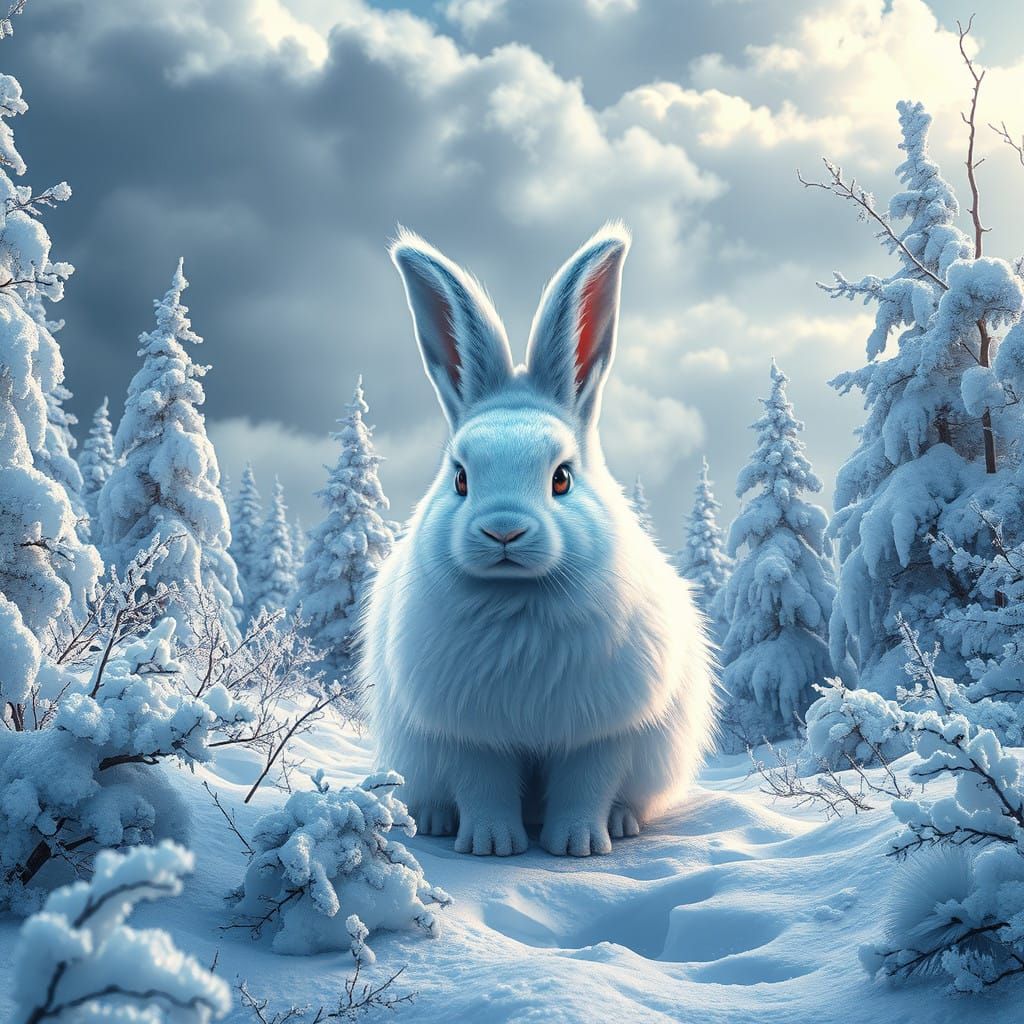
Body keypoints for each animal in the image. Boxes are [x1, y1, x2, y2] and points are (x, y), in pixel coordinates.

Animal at [362, 223, 716, 857]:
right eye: (460, 478)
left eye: (562, 478)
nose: (503, 528)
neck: (517, 598)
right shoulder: (471, 734)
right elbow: (483, 787)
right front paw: (492, 847)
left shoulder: (601, 733)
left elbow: (585, 786)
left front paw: (578, 847)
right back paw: (436, 819)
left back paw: (621, 823)